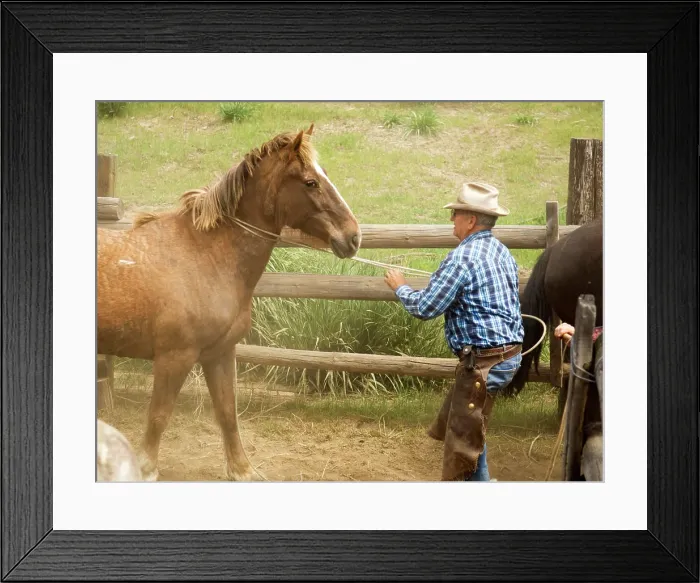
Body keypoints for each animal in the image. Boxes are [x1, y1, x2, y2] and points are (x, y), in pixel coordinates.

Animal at [97, 124, 361, 481]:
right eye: (310, 182)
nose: (353, 237)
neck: (206, 256)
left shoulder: (220, 353)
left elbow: (227, 412)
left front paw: (241, 469)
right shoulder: (174, 357)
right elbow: (159, 415)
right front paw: (147, 469)